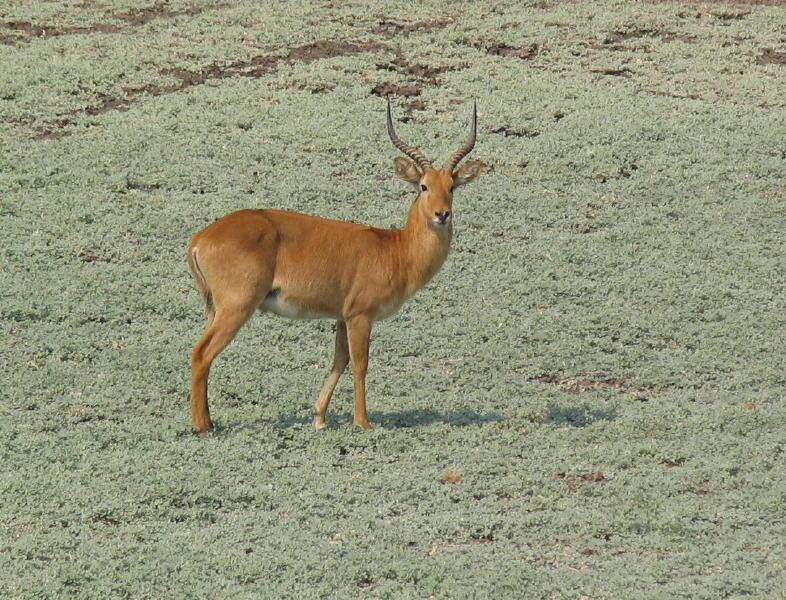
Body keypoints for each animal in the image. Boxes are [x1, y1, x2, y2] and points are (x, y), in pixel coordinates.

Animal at [187, 101, 480, 434]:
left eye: (452, 187)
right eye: (423, 186)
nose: (441, 214)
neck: (394, 249)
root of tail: (201, 238)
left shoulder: (341, 316)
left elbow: (339, 361)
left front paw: (319, 417)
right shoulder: (360, 316)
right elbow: (361, 364)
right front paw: (363, 422)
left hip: (214, 309)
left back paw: (209, 420)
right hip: (237, 307)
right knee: (200, 353)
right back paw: (201, 427)